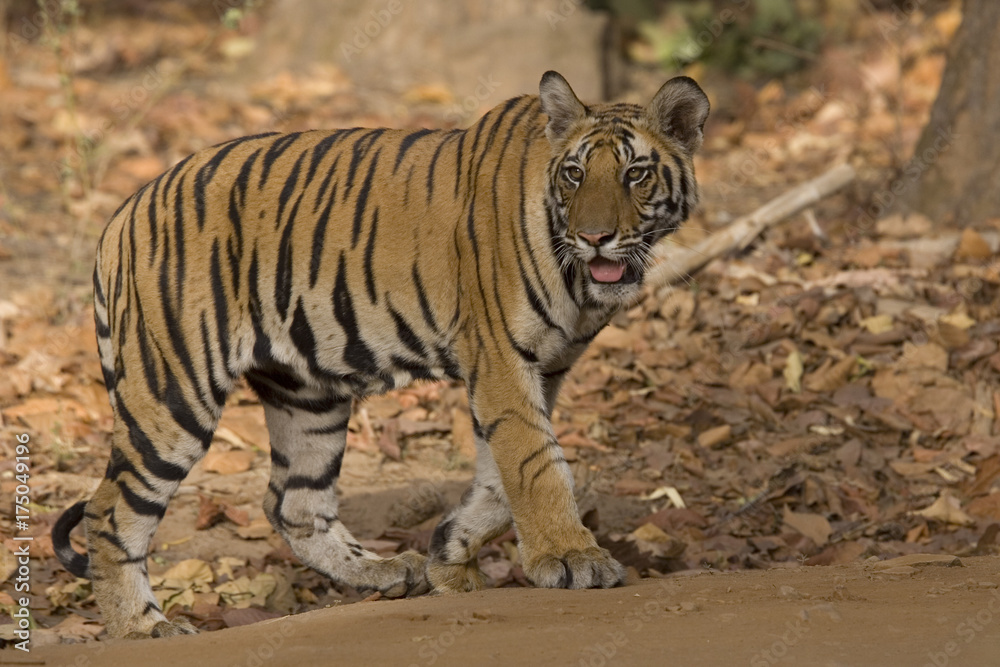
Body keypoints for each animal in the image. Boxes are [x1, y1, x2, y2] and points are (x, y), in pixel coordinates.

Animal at [52, 70, 709, 639]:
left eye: (636, 174)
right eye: (574, 174)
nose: (595, 238)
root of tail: (124, 211)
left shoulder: (540, 369)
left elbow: (504, 475)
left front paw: (449, 551)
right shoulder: (501, 359)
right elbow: (535, 464)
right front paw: (570, 557)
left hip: (306, 395)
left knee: (293, 504)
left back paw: (388, 572)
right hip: (174, 391)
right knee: (110, 512)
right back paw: (143, 627)